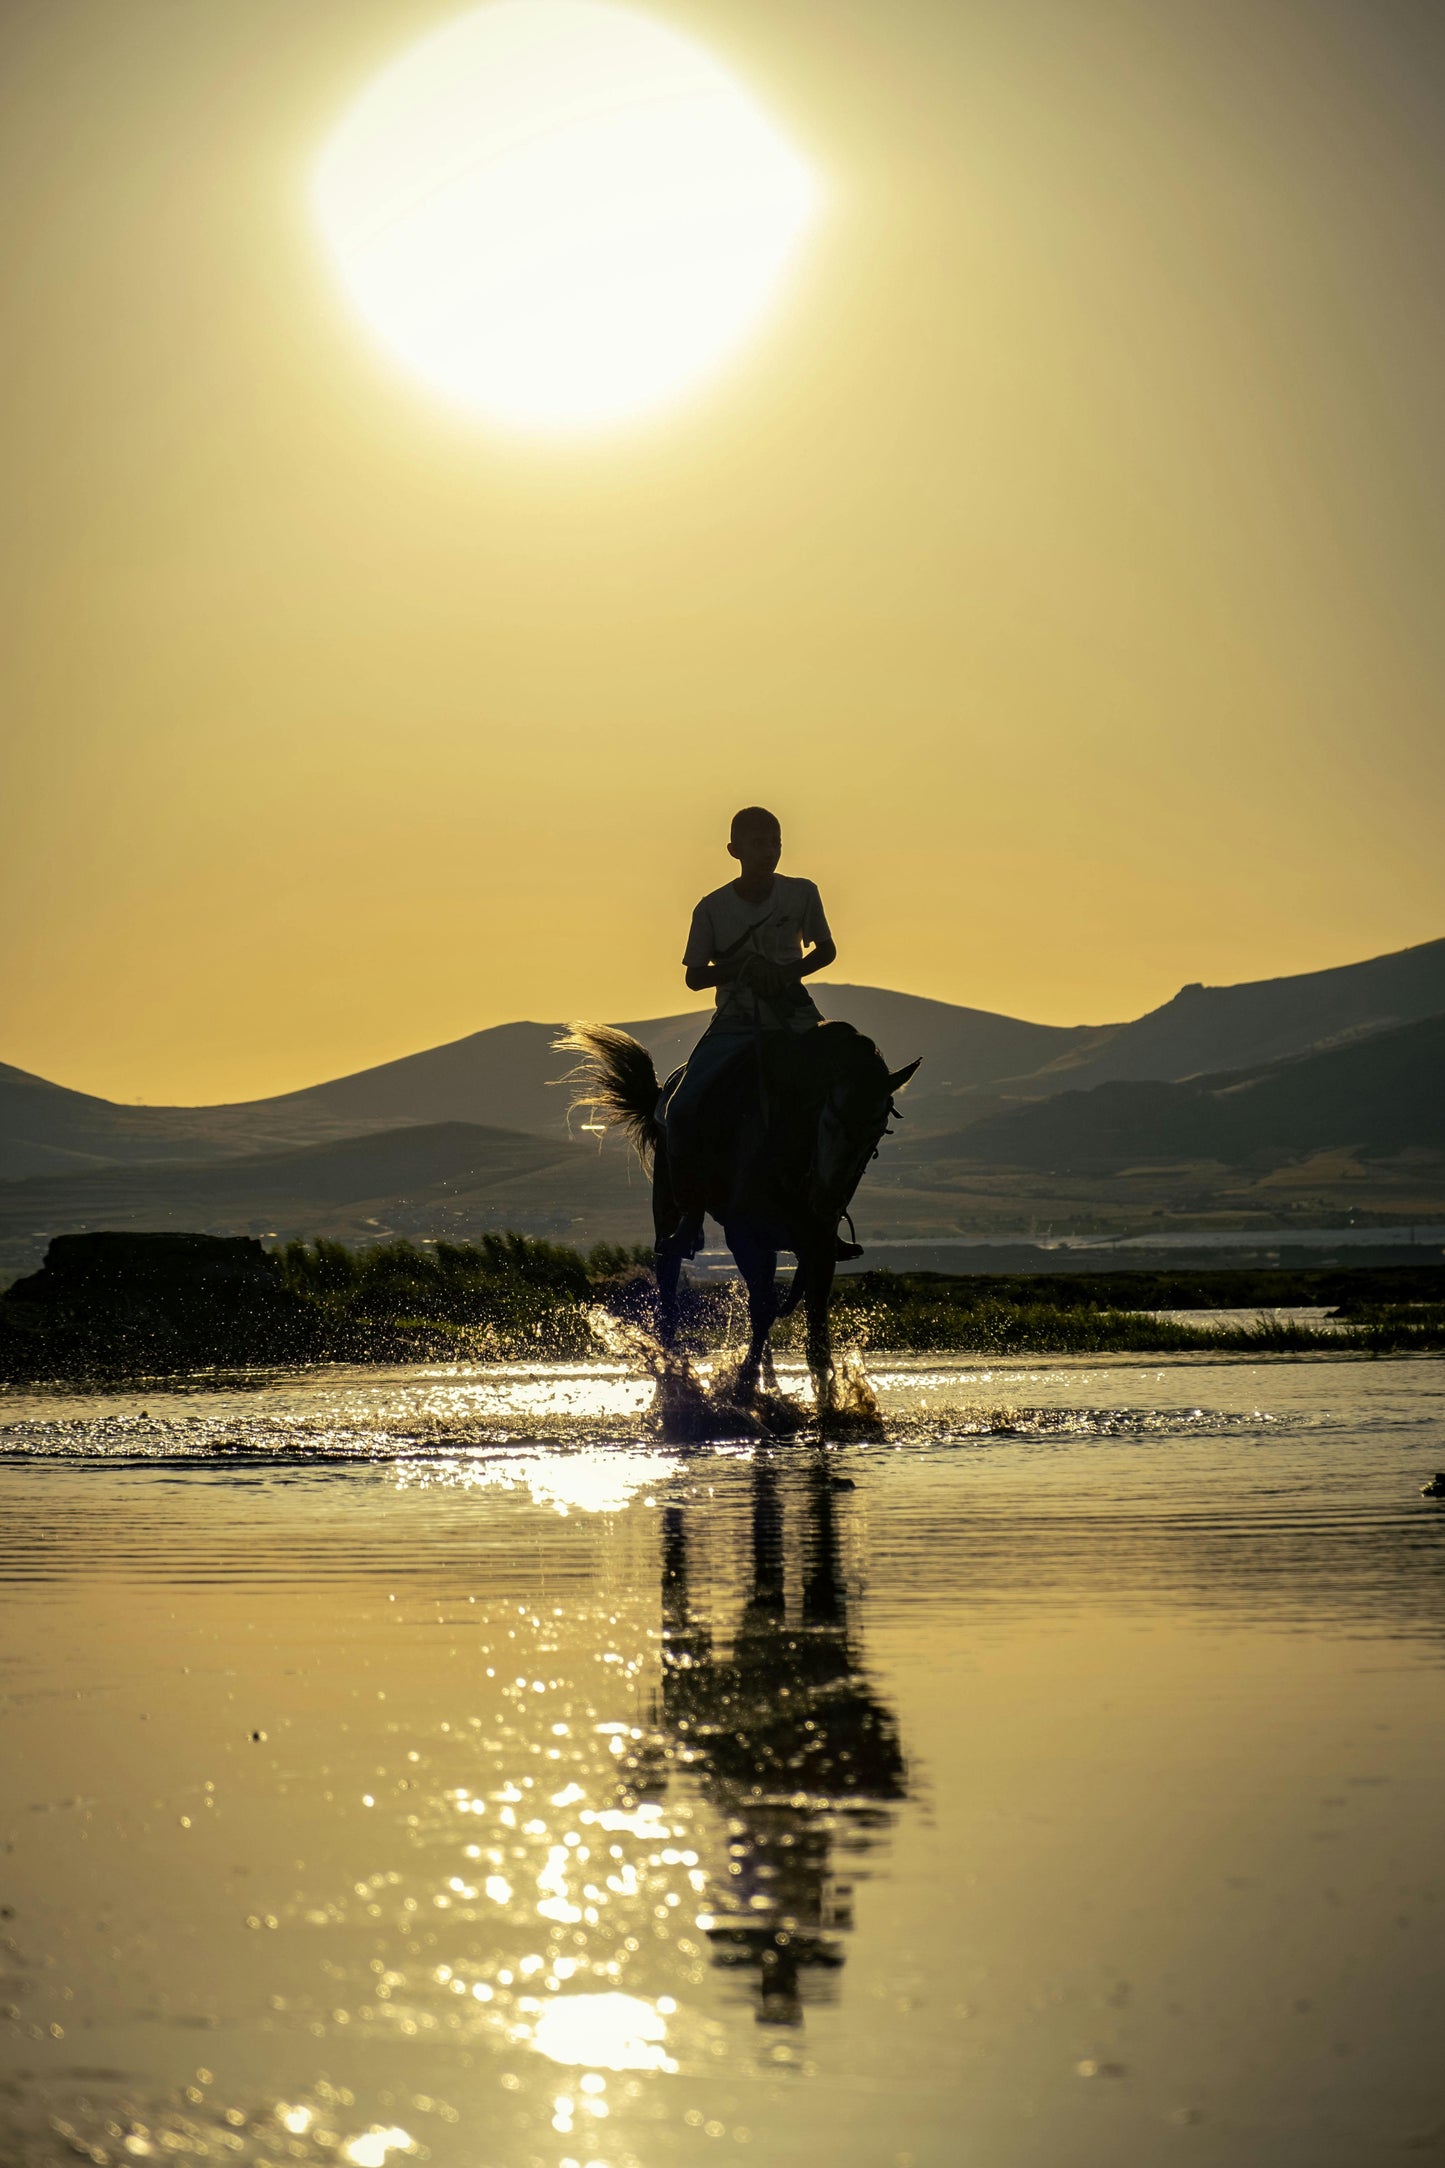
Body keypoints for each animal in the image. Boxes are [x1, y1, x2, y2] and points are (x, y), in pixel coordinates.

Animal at [558, 1020, 919, 1414]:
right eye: (830, 1119)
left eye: (878, 1131)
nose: (826, 1200)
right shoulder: (745, 1239)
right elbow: (761, 1311)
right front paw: (742, 1388)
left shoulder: (818, 1249)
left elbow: (815, 1334)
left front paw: (828, 1404)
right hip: (669, 1209)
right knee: (668, 1286)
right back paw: (673, 1383)